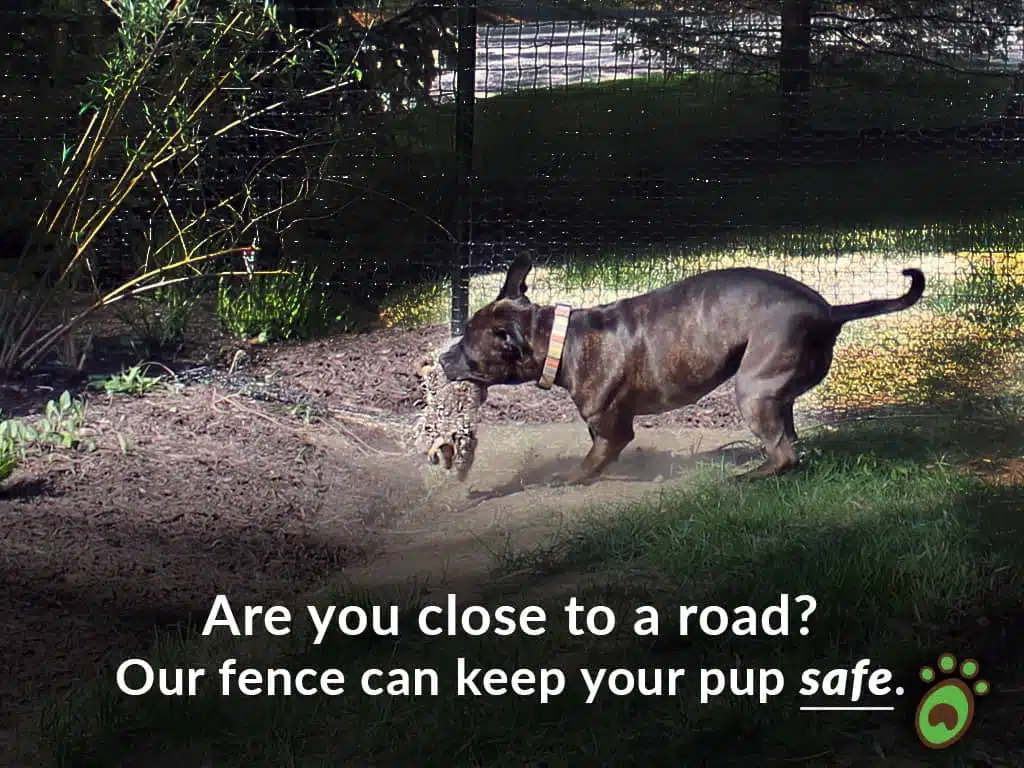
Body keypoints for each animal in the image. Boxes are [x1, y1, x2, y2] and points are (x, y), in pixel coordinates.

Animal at [436, 259, 925, 487]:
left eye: (468, 350)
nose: (442, 359)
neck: (561, 339)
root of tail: (830, 311)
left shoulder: (613, 429)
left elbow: (593, 458)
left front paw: (571, 479)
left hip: (752, 390)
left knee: (785, 451)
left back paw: (747, 477)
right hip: (773, 392)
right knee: (790, 443)